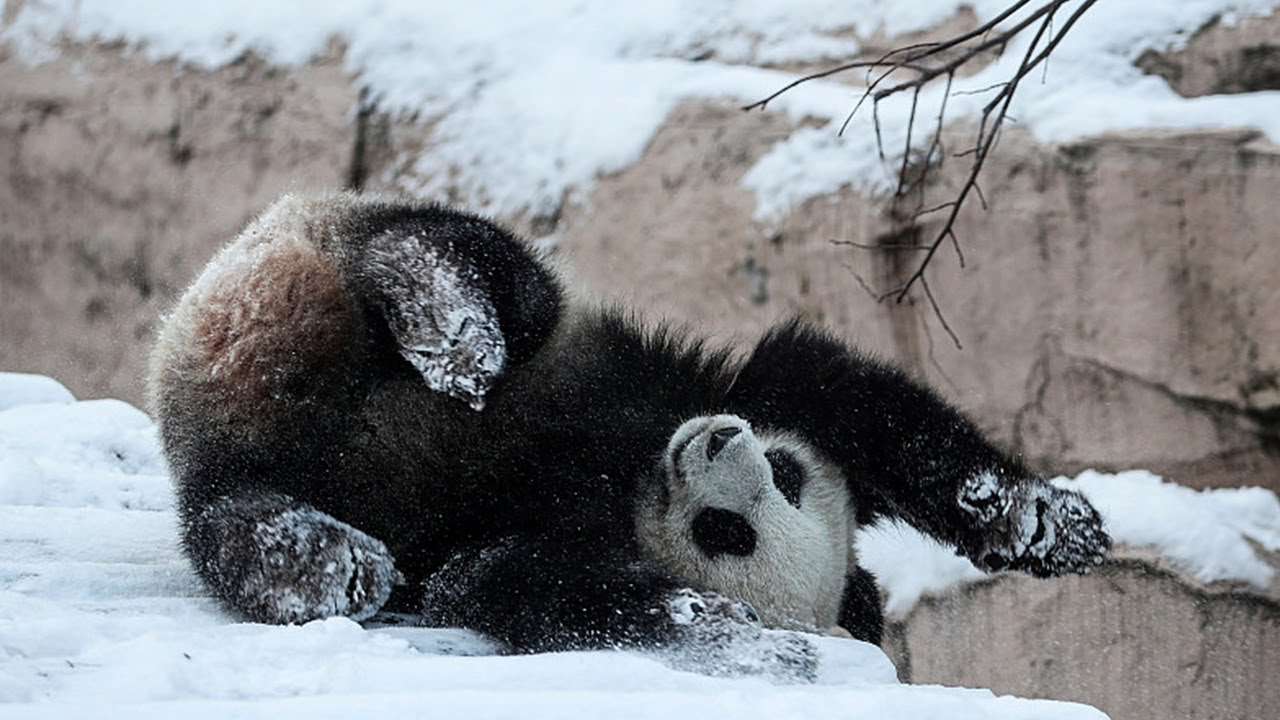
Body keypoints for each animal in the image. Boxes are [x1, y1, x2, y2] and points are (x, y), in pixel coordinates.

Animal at [147, 189, 1111, 671]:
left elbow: (503, 583)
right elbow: (848, 397)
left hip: (244, 455)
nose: (718, 442)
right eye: (787, 476)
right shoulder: (711, 389)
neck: (628, 475)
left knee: (237, 520)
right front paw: (1044, 522)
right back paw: (457, 334)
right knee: (479, 269)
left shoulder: (524, 538)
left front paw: (713, 620)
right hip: (344, 249)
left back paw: (329, 561)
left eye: (728, 530)